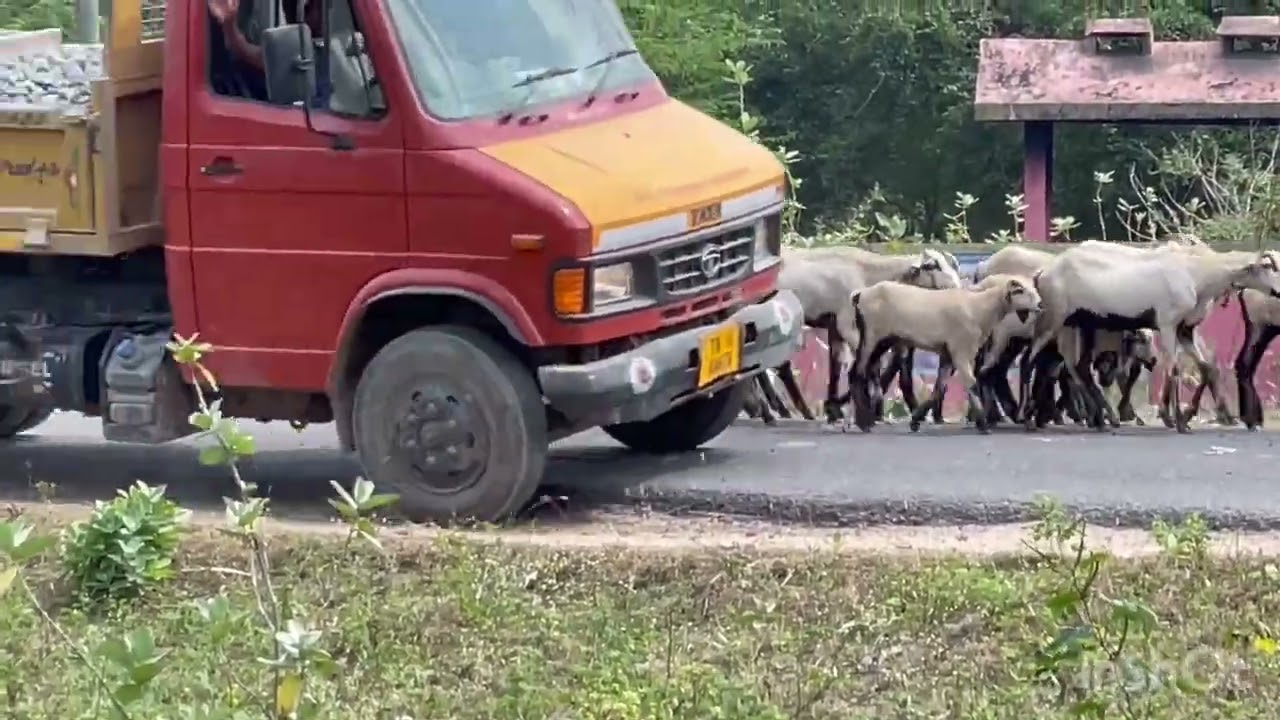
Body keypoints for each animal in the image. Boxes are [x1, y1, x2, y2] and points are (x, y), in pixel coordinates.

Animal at [752, 245, 963, 424]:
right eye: (932, 266)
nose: (957, 287)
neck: (870, 273)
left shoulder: (836, 327)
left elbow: (837, 366)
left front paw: (835, 410)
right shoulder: (848, 325)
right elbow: (871, 365)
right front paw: (872, 409)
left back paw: (781, 410)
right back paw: (780, 411)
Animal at [836, 275, 1043, 433]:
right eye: (1020, 291)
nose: (1041, 305)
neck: (979, 309)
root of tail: (860, 294)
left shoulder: (948, 353)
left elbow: (939, 387)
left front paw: (916, 420)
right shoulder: (961, 350)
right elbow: (971, 384)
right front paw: (983, 424)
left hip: (882, 341)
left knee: (859, 372)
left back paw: (862, 420)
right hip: (872, 335)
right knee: (856, 373)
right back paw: (863, 423)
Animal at [1016, 245, 1280, 433]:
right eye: (1269, 268)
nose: (1278, 292)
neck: (1197, 273)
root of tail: (1042, 273)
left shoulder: (1184, 329)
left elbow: (1206, 367)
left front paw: (1195, 415)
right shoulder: (1167, 323)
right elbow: (1174, 369)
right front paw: (1179, 422)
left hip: (1083, 323)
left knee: (1077, 368)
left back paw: (1101, 421)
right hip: (1052, 318)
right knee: (1029, 362)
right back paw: (1026, 417)